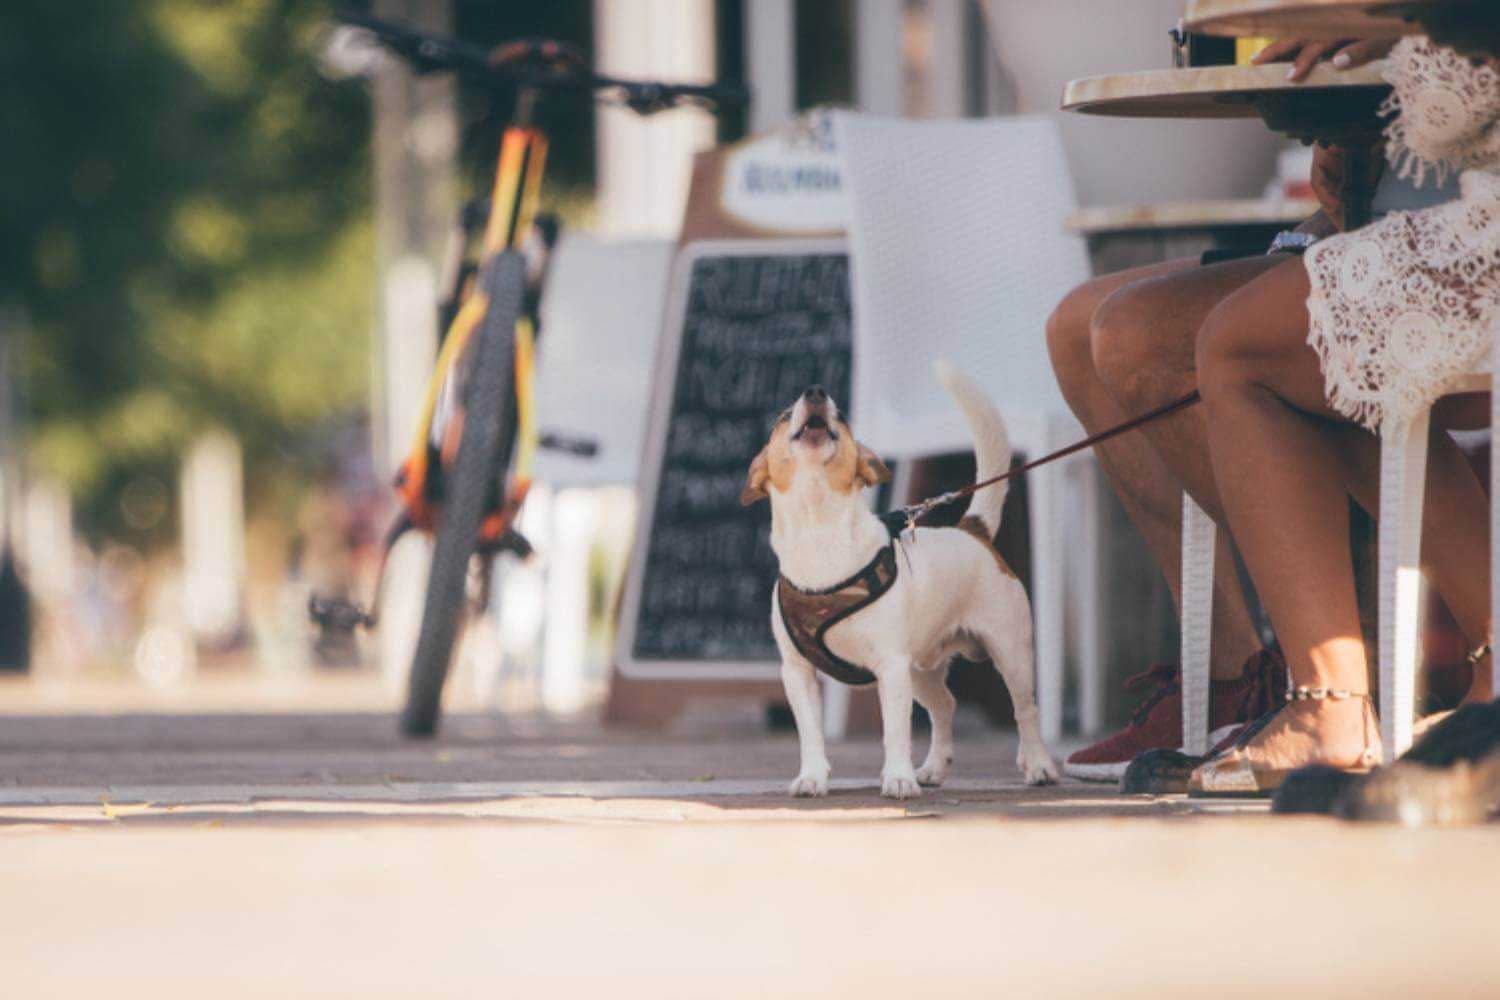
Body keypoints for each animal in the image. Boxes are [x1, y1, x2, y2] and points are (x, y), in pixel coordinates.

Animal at [744, 364, 1062, 803]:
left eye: (842, 416)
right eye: (783, 415)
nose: (815, 391)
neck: (819, 530)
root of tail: (972, 530)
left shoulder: (890, 666)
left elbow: (895, 731)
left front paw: (898, 777)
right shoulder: (798, 673)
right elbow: (811, 733)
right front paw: (812, 776)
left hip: (1009, 652)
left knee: (1025, 709)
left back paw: (1038, 765)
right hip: (921, 668)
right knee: (945, 705)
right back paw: (933, 767)